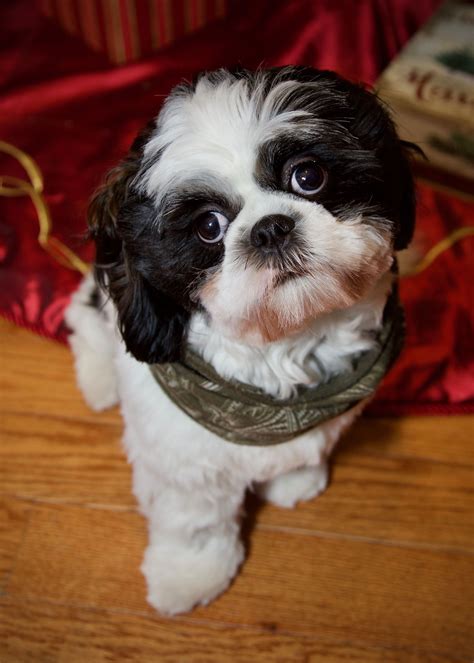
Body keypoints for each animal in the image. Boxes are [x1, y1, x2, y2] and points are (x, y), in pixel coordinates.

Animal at [65, 65, 414, 616]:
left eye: (308, 176)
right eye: (209, 227)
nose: (271, 228)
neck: (285, 344)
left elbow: (303, 451)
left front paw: (294, 480)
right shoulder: (185, 463)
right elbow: (197, 522)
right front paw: (189, 576)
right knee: (84, 316)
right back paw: (99, 381)